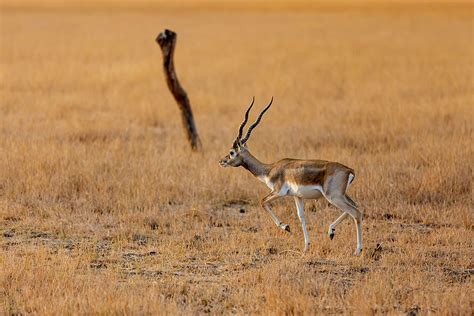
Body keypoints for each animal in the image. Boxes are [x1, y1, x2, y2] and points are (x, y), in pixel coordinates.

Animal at [218, 97, 362, 256]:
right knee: (356, 207)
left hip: (333, 196)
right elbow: (301, 216)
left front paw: (286, 226)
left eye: (231, 152)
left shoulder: (278, 192)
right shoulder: (297, 196)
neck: (270, 169)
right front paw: (306, 246)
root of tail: (349, 170)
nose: (222, 161)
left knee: (355, 212)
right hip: (341, 195)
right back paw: (331, 232)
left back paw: (357, 250)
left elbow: (262, 201)